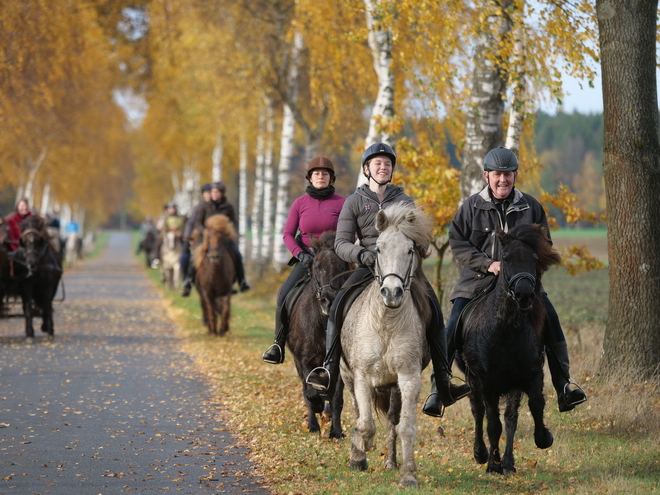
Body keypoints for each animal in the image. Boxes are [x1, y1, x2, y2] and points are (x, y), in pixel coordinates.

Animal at [288, 232, 350, 438]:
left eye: (342, 266)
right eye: (317, 265)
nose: (328, 300)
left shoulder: (337, 364)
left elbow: (336, 398)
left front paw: (336, 431)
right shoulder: (304, 360)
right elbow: (310, 393)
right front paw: (316, 412)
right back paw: (313, 423)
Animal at [340, 202, 434, 488]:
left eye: (410, 250)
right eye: (378, 249)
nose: (392, 293)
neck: (387, 323)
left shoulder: (409, 377)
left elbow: (406, 427)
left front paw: (408, 475)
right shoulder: (361, 375)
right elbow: (365, 423)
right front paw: (361, 447)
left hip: (393, 386)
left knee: (393, 420)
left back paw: (391, 462)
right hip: (346, 376)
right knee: (358, 412)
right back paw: (357, 455)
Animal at [458, 223, 564, 474]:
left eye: (534, 258)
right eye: (505, 258)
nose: (525, 295)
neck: (505, 330)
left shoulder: (529, 374)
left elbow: (529, 409)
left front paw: (541, 439)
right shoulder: (487, 382)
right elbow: (492, 424)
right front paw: (492, 464)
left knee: (508, 417)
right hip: (474, 380)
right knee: (478, 412)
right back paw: (481, 453)